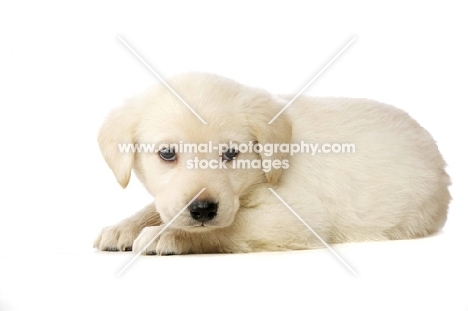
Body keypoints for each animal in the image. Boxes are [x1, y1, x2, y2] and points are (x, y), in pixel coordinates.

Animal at [94, 73, 450, 256]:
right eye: (167, 154)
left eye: (231, 154)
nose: (203, 210)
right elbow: (157, 207)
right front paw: (124, 227)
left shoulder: (299, 216)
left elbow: (229, 227)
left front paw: (167, 235)